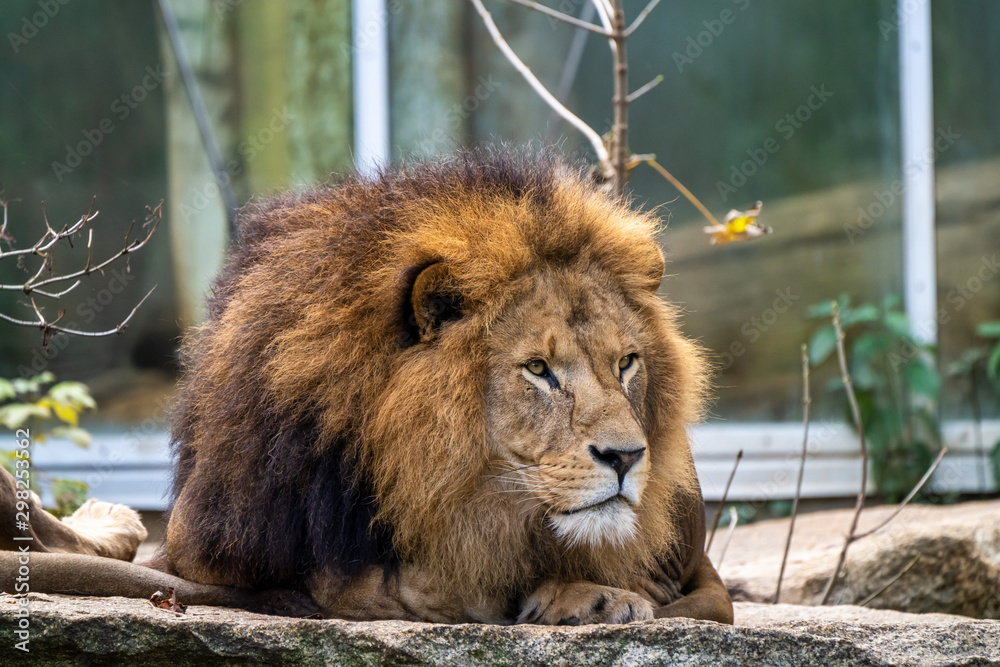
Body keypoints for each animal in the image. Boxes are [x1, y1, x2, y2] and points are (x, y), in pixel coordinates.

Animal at [1, 149, 733, 625]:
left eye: (627, 363)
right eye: (538, 370)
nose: (626, 457)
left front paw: (593, 593)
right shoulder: (203, 547)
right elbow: (392, 583)